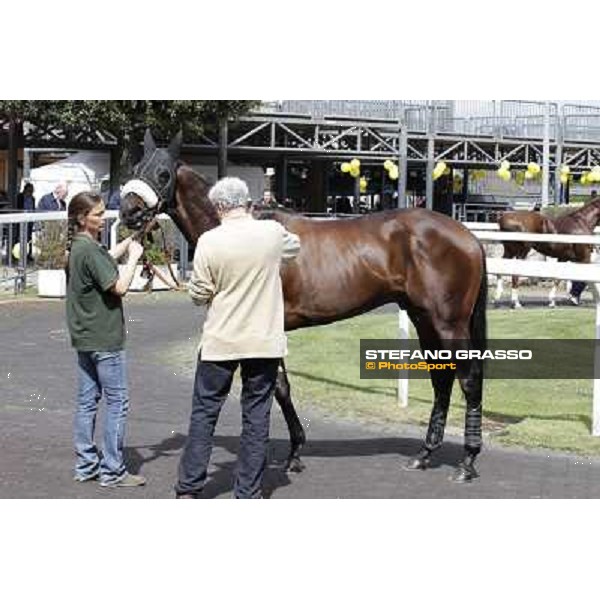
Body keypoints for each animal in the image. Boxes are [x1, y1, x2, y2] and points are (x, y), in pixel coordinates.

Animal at [120, 131, 488, 482]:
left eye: (164, 174)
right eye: (135, 169)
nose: (129, 212)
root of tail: (468, 236)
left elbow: (279, 388)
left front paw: (293, 453)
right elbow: (280, 387)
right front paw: (294, 451)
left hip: (448, 323)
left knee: (469, 379)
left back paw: (468, 462)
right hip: (423, 318)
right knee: (442, 380)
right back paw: (425, 454)